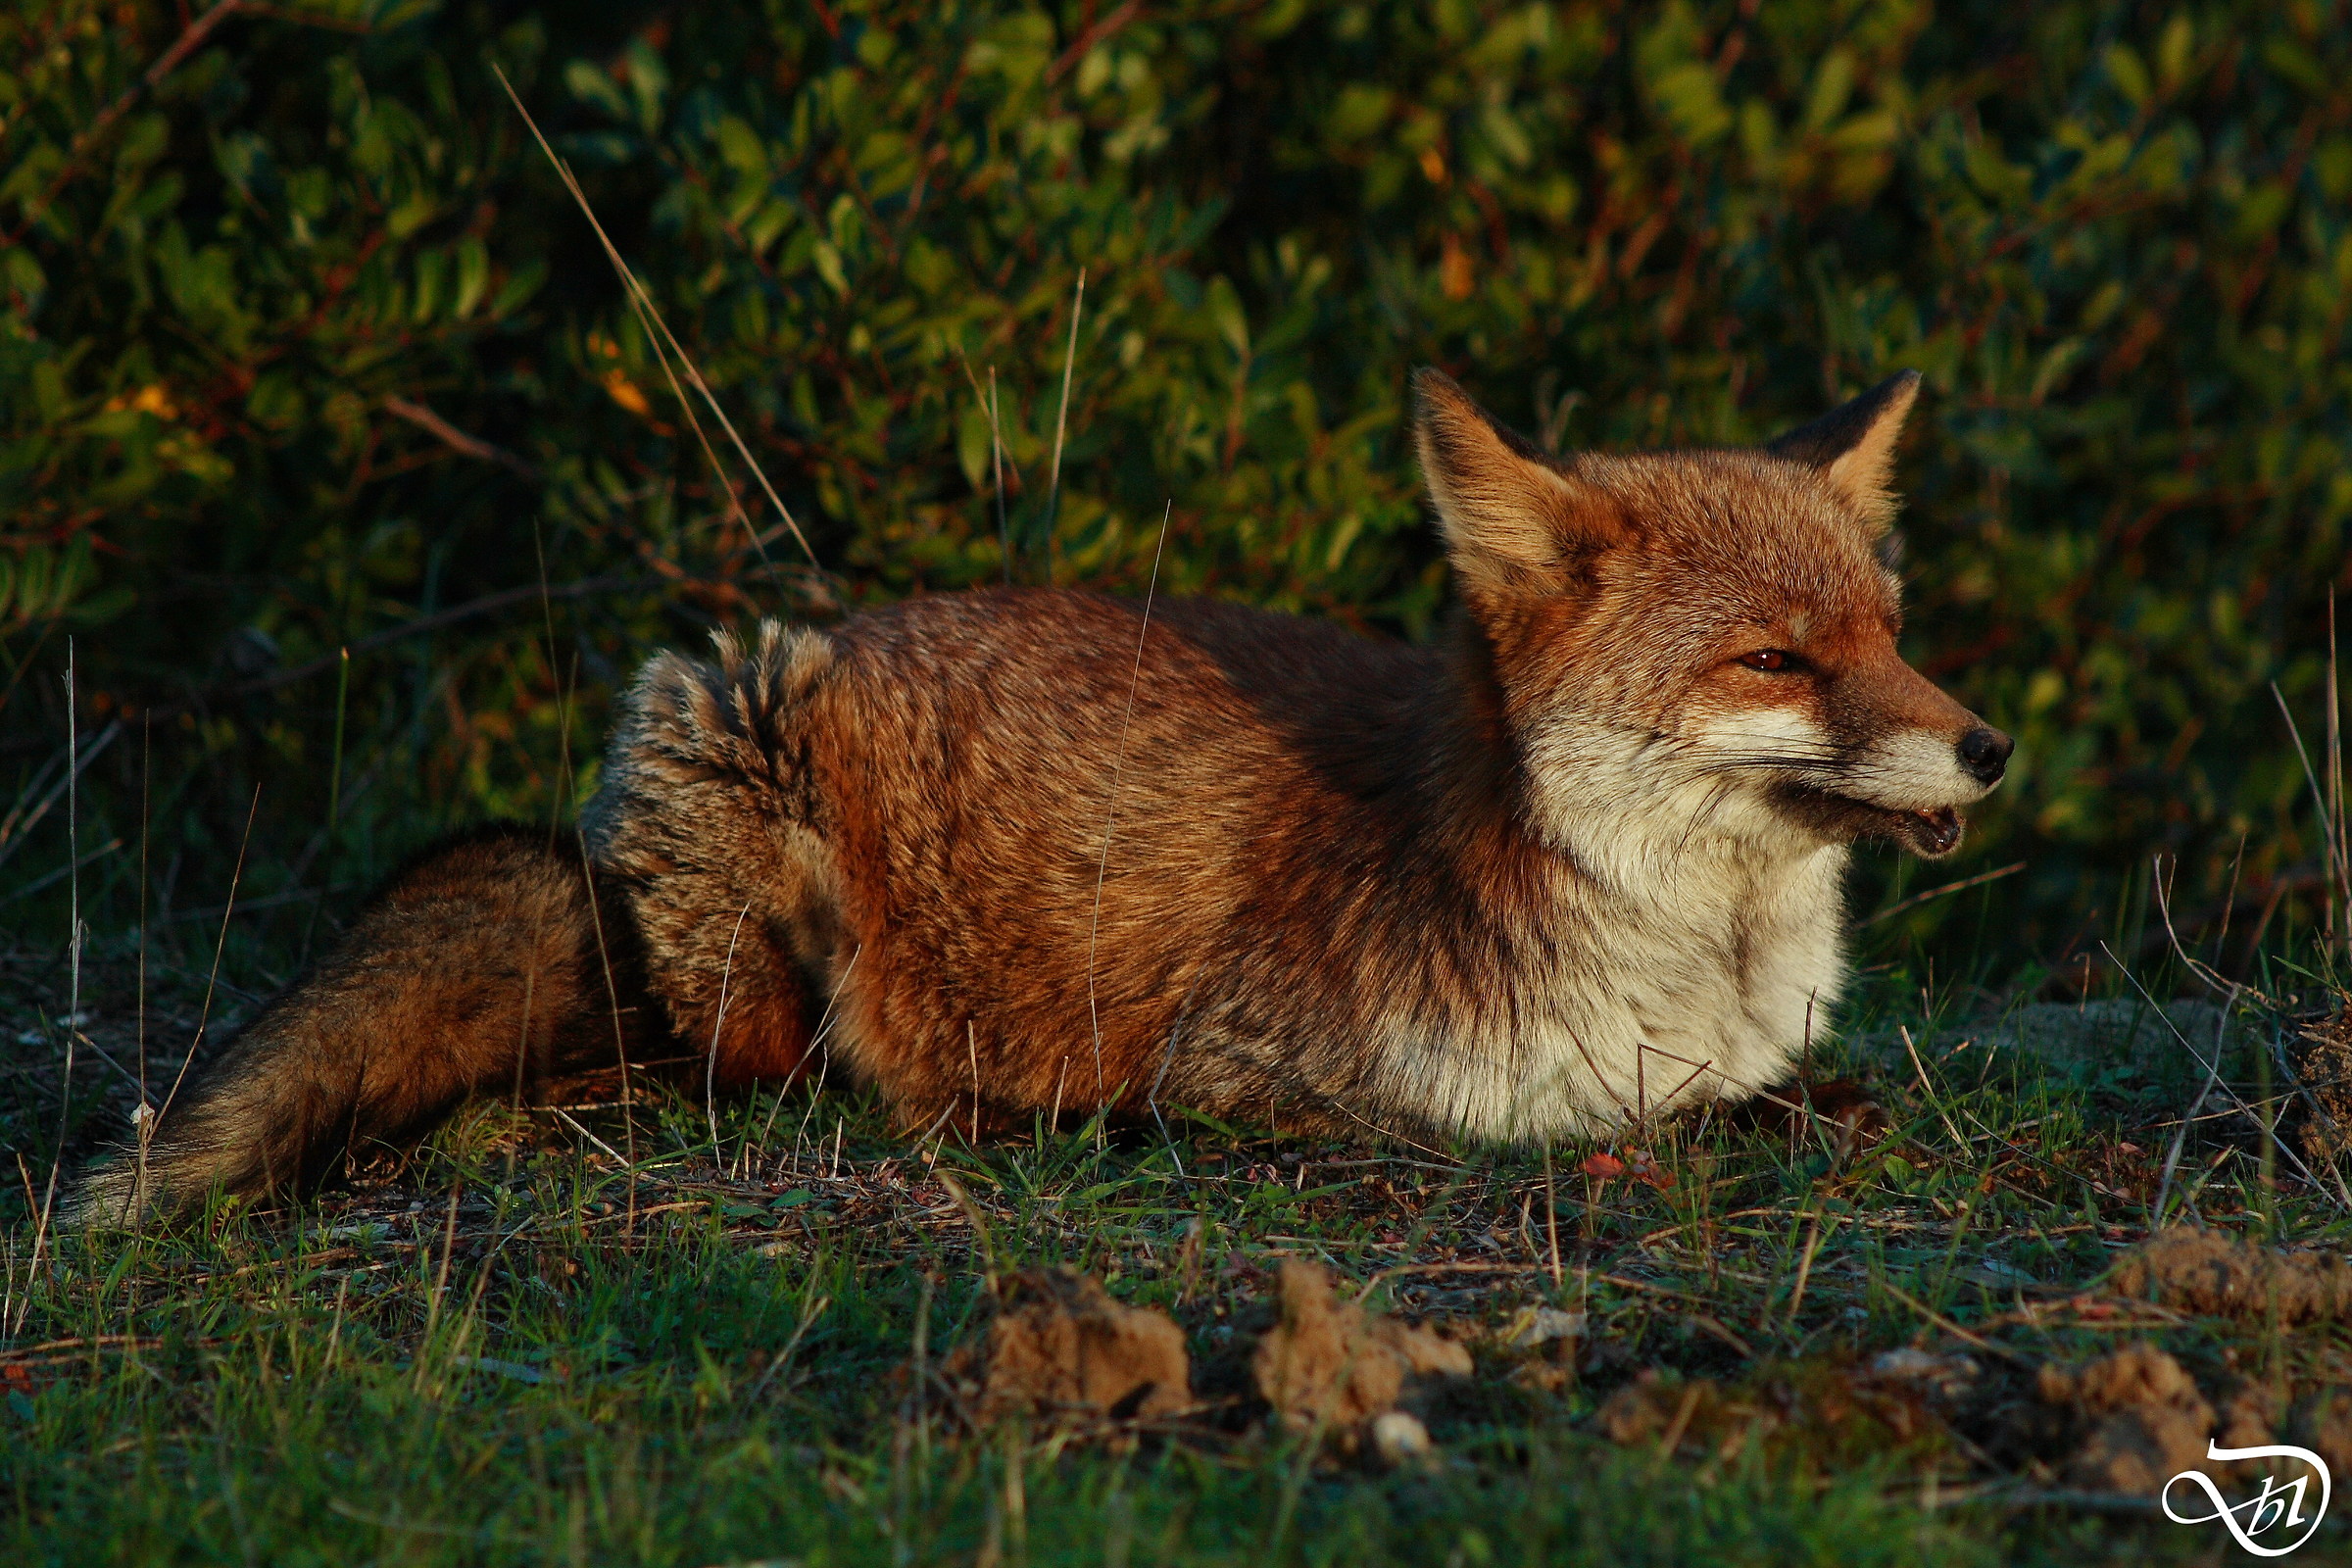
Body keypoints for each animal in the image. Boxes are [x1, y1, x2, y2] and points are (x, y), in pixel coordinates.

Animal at [64, 367, 2010, 1224]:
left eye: (1894, 633)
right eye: (1777, 659)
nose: (1992, 748)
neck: (1701, 969)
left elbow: (1785, 1096)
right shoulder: (1280, 1076)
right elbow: (1621, 1127)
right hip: (729, 776)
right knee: (746, 1086)